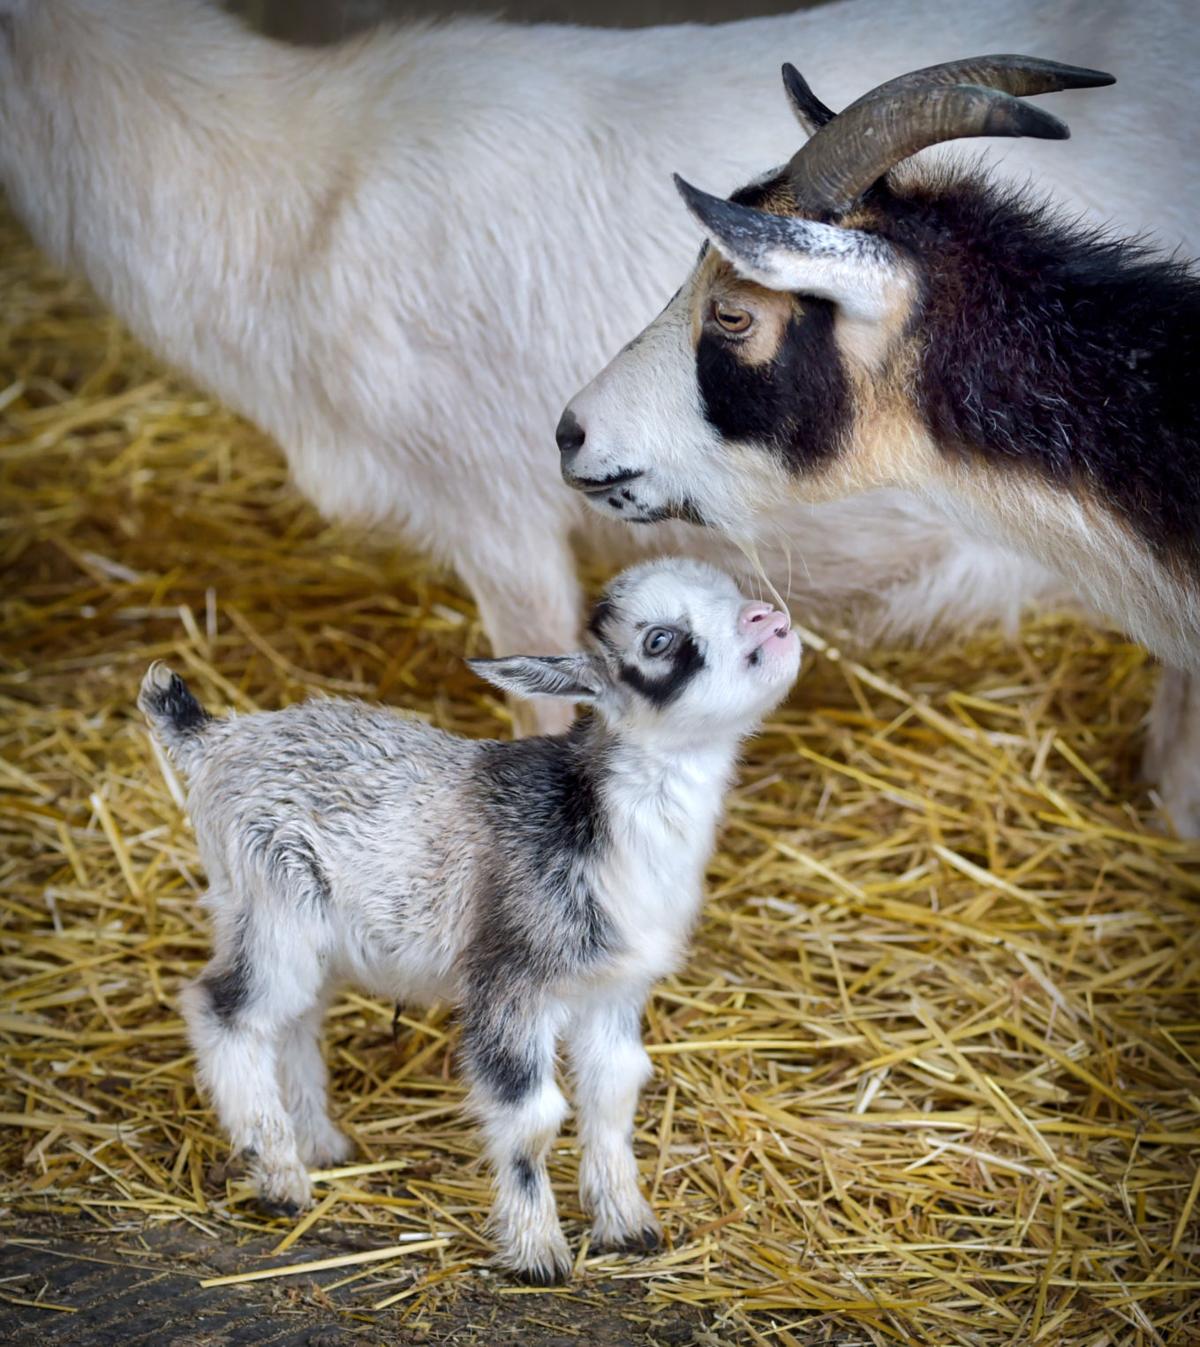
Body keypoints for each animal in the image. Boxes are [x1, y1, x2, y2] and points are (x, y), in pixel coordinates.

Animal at [138, 558, 801, 1283]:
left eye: (733, 590)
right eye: (659, 640)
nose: (770, 618)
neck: (593, 824)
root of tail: (217, 738)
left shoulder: (613, 990)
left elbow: (614, 1093)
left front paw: (628, 1224)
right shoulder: (509, 980)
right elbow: (531, 1117)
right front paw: (538, 1253)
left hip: (308, 932)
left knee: (292, 1021)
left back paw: (320, 1143)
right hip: (270, 905)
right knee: (225, 1010)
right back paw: (279, 1176)